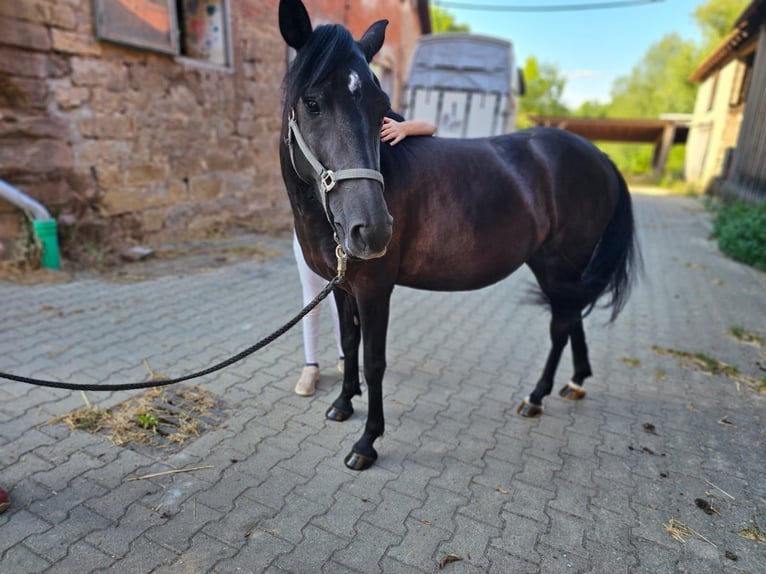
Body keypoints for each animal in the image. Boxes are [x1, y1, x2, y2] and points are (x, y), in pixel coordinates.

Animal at [278, 0, 640, 471]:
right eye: (313, 103)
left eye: (381, 107)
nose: (371, 229)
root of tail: (600, 156)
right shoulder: (341, 286)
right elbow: (349, 342)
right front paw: (342, 404)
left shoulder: (375, 289)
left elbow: (374, 360)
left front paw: (367, 442)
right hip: (557, 268)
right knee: (572, 314)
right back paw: (575, 382)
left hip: (560, 264)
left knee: (561, 323)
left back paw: (536, 397)